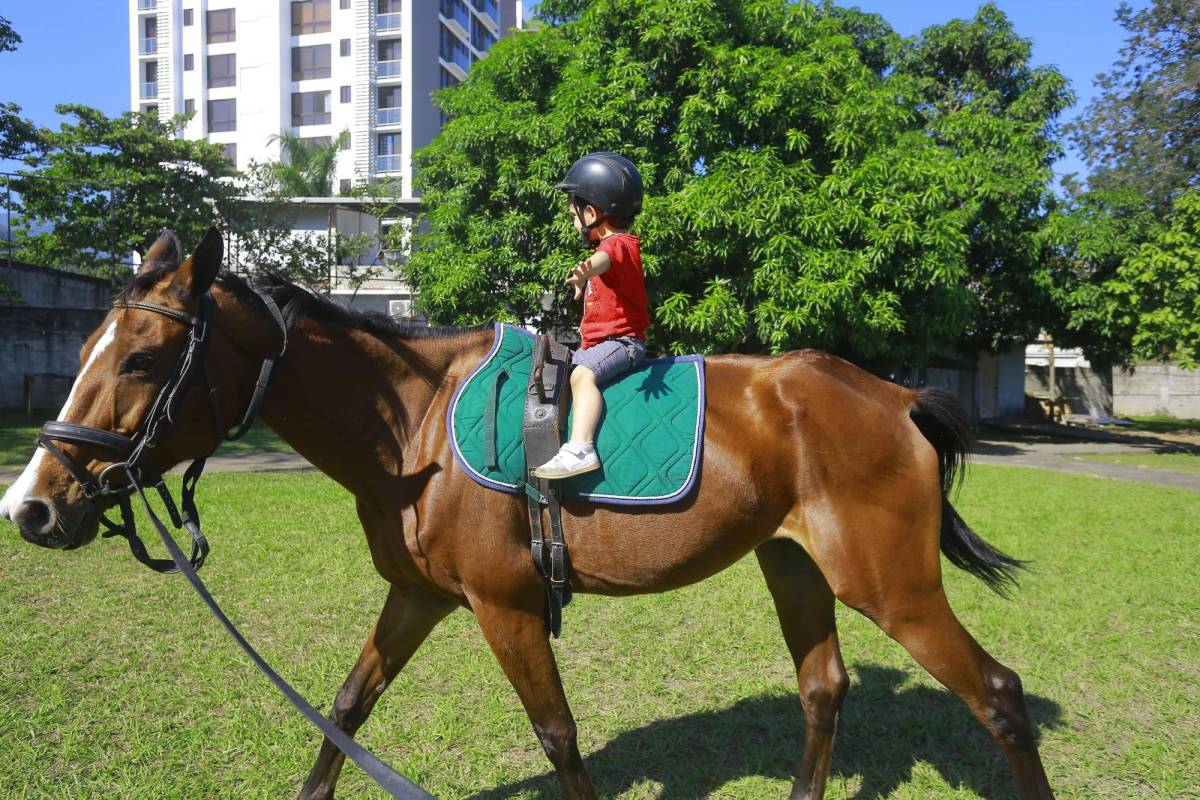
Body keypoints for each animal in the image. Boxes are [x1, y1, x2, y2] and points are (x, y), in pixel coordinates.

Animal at [0, 231, 1051, 800]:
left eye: (142, 360)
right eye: (85, 348)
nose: (33, 507)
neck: (414, 428)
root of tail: (894, 395)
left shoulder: (504, 608)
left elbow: (559, 735)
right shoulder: (420, 597)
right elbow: (347, 706)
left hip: (892, 585)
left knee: (999, 695)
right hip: (795, 566)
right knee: (825, 689)